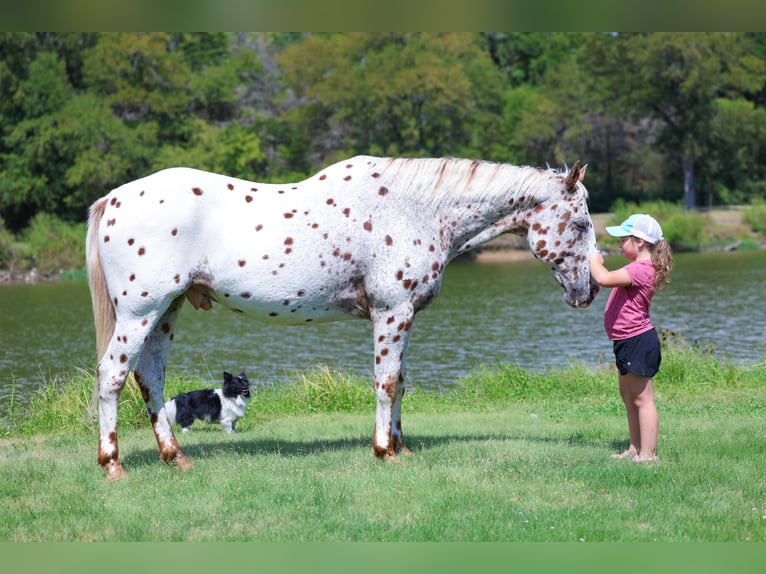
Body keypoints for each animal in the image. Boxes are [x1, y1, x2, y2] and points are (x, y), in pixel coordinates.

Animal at [86, 155, 599, 480]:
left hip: (165, 312)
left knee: (150, 379)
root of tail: (112, 200)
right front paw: (384, 452)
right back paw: (113, 465)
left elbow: (401, 382)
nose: (589, 290)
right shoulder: (391, 313)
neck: (412, 210)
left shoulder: (404, 317)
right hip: (140, 312)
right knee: (113, 376)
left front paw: (401, 446)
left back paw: (175, 458)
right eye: (579, 223)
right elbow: (386, 384)